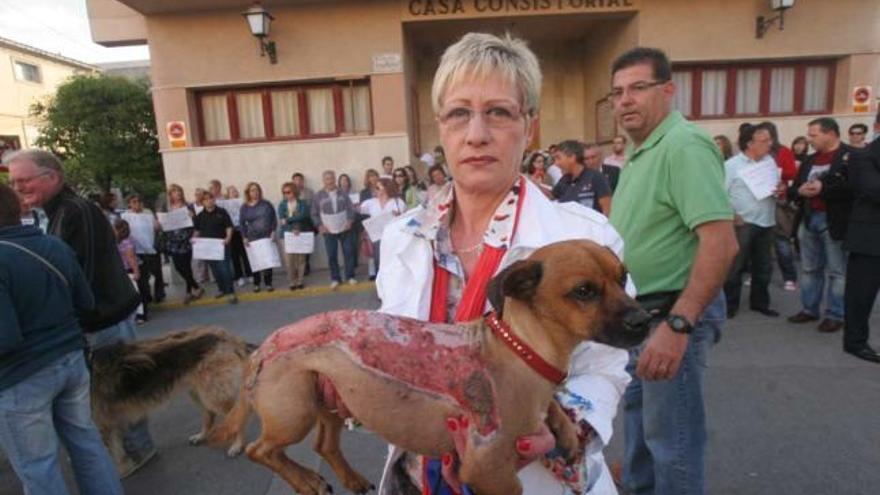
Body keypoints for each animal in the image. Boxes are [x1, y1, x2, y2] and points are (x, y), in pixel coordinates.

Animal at [89, 328, 254, 474]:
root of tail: (227, 336)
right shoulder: (108, 424)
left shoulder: (102, 426)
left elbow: (110, 456)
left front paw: (121, 471)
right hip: (199, 392)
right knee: (210, 415)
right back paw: (201, 436)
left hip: (212, 394)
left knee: (235, 415)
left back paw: (237, 445)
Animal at [210, 238, 648, 494]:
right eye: (584, 292)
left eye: (623, 276)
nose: (645, 320)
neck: (519, 347)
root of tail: (263, 348)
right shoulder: (487, 470)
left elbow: (555, 405)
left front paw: (567, 431)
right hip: (294, 411)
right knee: (261, 449)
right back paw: (305, 480)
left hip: (327, 400)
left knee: (323, 445)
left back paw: (345, 478)